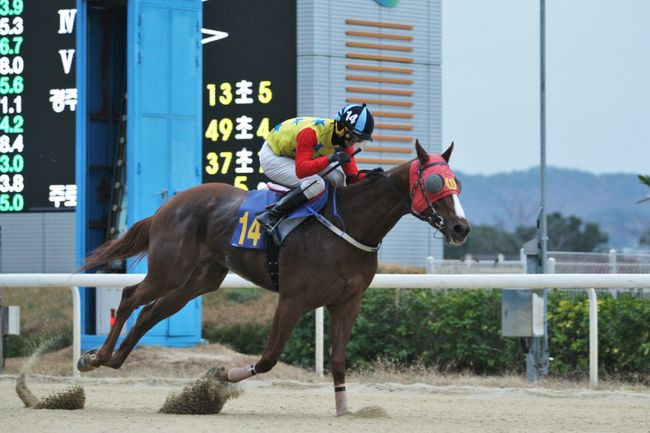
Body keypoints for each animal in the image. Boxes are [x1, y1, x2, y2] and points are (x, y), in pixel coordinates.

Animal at [78, 140, 468, 414]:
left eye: (456, 183)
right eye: (434, 182)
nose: (461, 227)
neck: (348, 224)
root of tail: (167, 204)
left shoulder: (347, 302)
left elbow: (338, 363)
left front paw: (345, 411)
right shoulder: (293, 299)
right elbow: (267, 359)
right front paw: (218, 377)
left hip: (198, 280)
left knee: (149, 313)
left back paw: (111, 359)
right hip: (168, 271)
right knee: (130, 297)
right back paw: (95, 357)